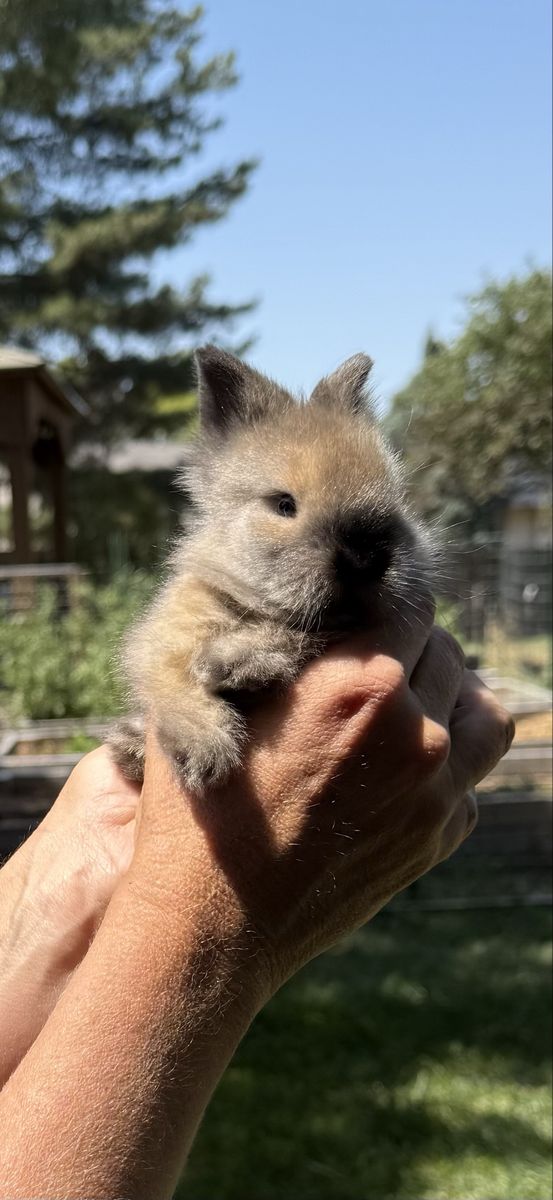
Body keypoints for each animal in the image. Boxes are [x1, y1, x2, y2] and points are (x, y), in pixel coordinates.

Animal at [109, 345, 432, 793]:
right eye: (284, 505)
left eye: (396, 500)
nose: (365, 559)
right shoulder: (163, 641)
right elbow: (172, 685)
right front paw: (205, 753)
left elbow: (297, 638)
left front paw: (233, 666)